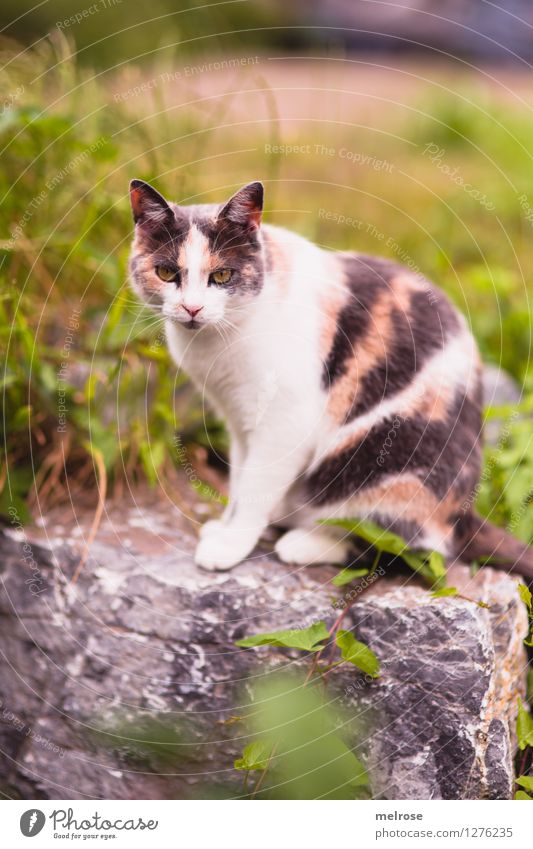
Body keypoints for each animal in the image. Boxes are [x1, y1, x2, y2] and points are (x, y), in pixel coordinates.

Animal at [129, 177, 532, 576]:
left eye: (222, 275)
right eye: (167, 273)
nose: (192, 308)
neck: (213, 345)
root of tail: (464, 513)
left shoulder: (286, 420)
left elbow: (256, 485)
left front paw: (230, 545)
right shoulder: (238, 419)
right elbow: (240, 478)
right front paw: (225, 526)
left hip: (385, 460)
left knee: (401, 546)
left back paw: (303, 543)